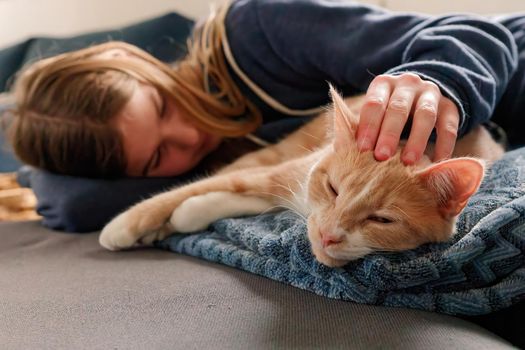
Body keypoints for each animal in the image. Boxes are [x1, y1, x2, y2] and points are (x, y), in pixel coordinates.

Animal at [99, 86, 504, 266]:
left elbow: (225, 199)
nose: (327, 235)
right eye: (333, 188)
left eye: (382, 220)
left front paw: (187, 215)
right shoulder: (281, 172)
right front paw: (125, 225)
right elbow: (210, 184)